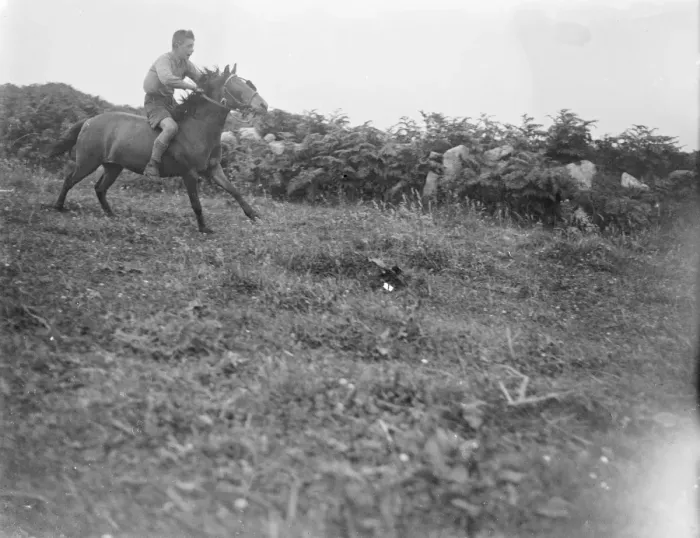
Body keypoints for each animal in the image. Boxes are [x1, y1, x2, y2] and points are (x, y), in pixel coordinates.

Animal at [48, 63, 267, 233]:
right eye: (236, 85)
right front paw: (204, 228)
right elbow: (196, 204)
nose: (263, 105)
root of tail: (88, 121)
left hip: (113, 167)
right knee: (69, 180)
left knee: (100, 188)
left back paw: (111, 214)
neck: (198, 128)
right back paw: (58, 206)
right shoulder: (189, 173)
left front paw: (254, 215)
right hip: (88, 162)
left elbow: (235, 191)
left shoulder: (213, 169)